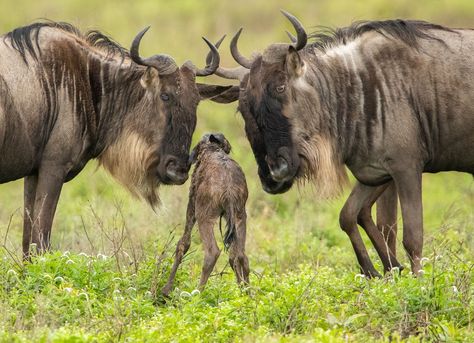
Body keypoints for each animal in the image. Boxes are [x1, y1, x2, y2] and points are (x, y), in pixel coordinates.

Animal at [163, 133, 250, 296]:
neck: (210, 149)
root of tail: (229, 190)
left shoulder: (192, 205)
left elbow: (183, 244)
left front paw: (166, 291)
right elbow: (233, 257)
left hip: (205, 216)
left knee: (212, 252)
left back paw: (197, 294)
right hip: (240, 216)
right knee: (241, 255)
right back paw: (248, 295)